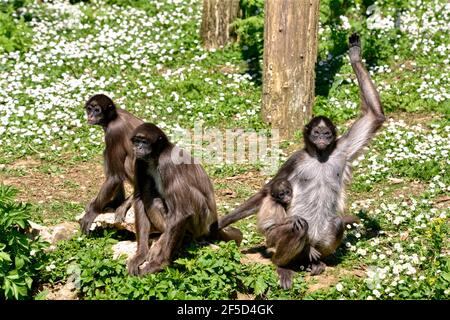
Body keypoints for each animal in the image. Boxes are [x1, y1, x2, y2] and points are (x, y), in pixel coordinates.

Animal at [80, 94, 143, 234]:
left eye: (97, 110)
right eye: (89, 109)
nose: (90, 116)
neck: (114, 117)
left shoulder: (114, 131)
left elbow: (115, 177)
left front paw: (93, 211)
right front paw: (115, 202)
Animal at [127, 122, 243, 276]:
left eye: (144, 142)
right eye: (136, 141)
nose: (137, 148)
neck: (156, 158)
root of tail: (212, 222)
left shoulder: (168, 162)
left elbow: (182, 214)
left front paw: (159, 264)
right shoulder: (140, 161)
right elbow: (139, 198)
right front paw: (140, 254)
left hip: (201, 221)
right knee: (148, 189)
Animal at [218, 33, 384, 290]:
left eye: (326, 134)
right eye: (316, 133)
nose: (322, 139)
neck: (321, 157)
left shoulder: (341, 150)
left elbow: (375, 117)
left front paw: (355, 55)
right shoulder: (295, 159)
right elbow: (267, 190)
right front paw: (220, 223)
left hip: (320, 237)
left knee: (336, 224)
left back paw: (314, 261)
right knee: (298, 227)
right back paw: (283, 265)